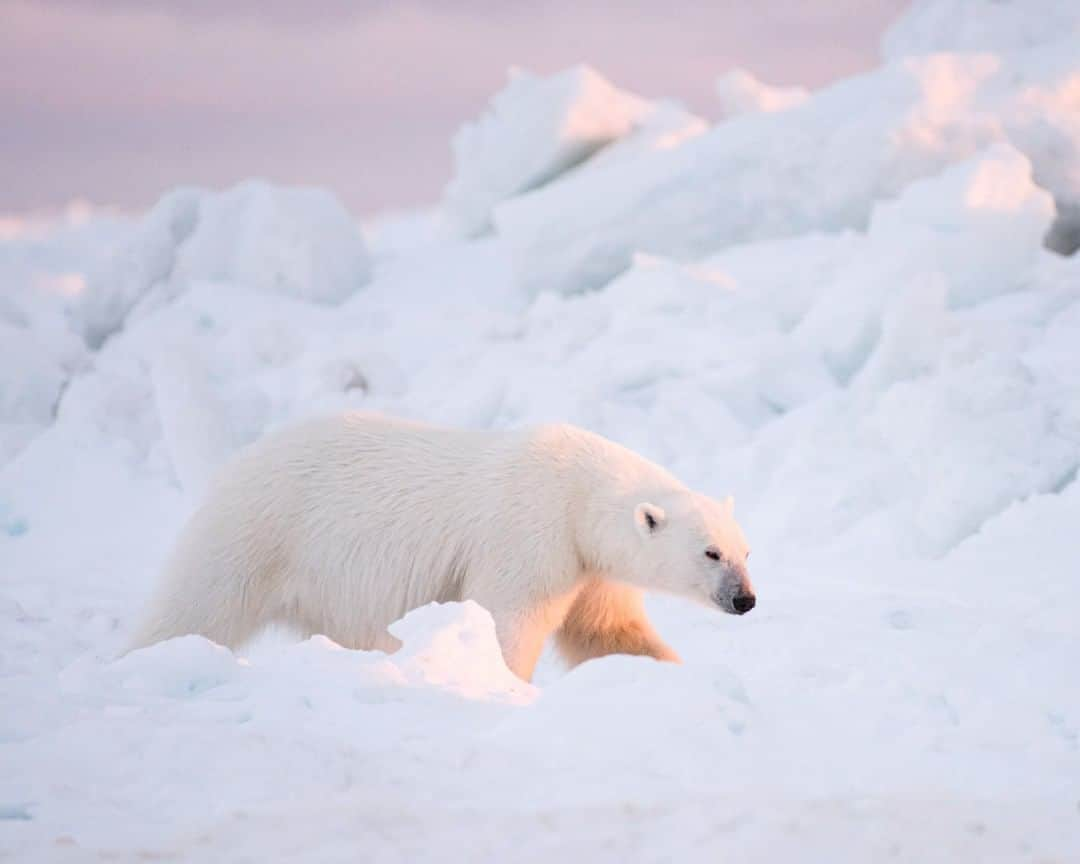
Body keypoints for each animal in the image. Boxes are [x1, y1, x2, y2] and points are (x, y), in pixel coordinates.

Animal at [130, 414, 756, 678]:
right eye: (710, 553)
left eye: (745, 551)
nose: (745, 600)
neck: (577, 490)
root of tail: (234, 465)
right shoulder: (530, 535)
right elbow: (505, 620)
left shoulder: (589, 568)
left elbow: (609, 632)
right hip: (258, 532)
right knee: (196, 608)